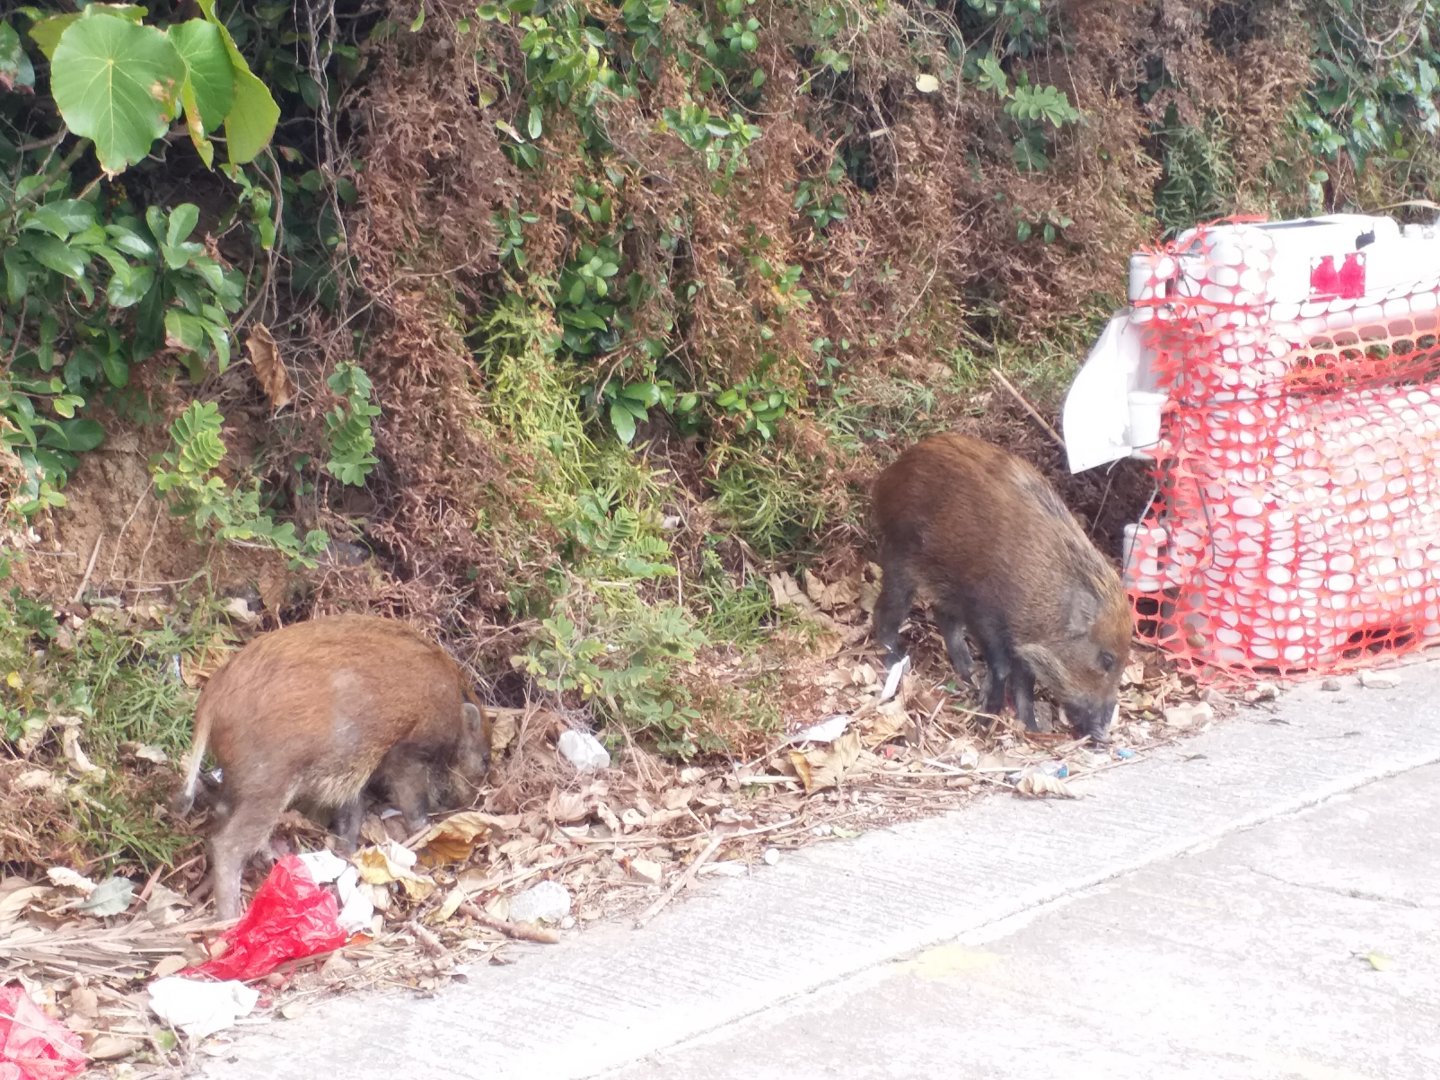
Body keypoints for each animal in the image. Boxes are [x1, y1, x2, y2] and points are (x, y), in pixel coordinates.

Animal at [170, 614, 492, 919]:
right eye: (485, 760)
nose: (468, 801)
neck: (454, 711)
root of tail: (212, 696)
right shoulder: (407, 752)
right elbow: (412, 803)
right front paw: (427, 831)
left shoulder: (356, 770)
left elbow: (351, 816)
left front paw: (347, 854)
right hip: (268, 782)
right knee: (226, 844)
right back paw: (230, 918)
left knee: (221, 814)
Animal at [870, 432, 1131, 741]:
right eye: (1106, 659)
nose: (1104, 735)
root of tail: (888, 475)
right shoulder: (985, 613)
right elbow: (1004, 668)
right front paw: (985, 720)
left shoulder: (1022, 638)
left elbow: (1025, 682)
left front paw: (1031, 726)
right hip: (901, 556)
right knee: (889, 610)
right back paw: (896, 660)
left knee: (942, 616)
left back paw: (968, 672)